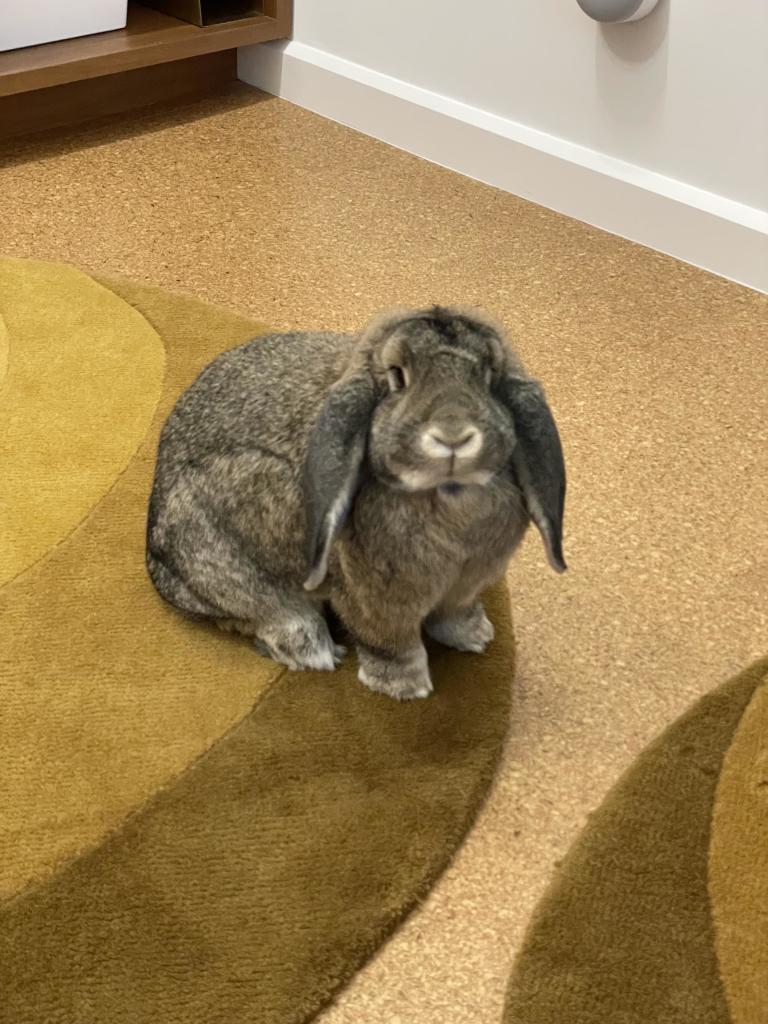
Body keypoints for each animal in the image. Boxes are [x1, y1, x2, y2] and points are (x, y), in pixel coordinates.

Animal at [145, 307, 565, 700]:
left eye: (490, 377)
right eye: (397, 377)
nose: (453, 434)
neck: (448, 494)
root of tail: (157, 567)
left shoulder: (464, 586)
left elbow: (453, 614)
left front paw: (477, 636)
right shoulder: (373, 599)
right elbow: (391, 643)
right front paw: (405, 688)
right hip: (221, 563)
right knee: (262, 613)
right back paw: (313, 651)